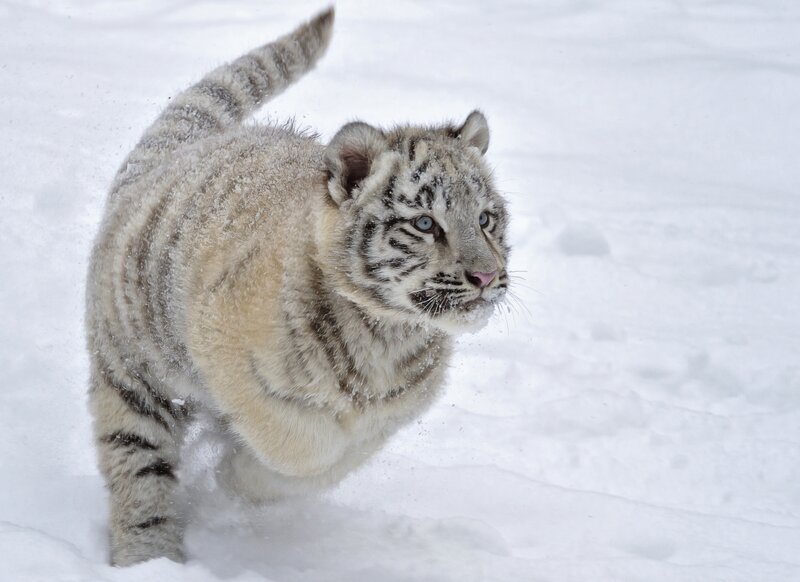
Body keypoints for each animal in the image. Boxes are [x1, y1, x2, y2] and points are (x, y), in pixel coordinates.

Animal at [86, 7, 510, 566]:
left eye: (485, 219)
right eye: (424, 224)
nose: (485, 276)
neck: (387, 335)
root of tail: (179, 154)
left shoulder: (385, 418)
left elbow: (327, 461)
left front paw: (242, 477)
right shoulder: (228, 355)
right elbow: (300, 445)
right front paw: (234, 474)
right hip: (132, 373)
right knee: (139, 471)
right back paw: (149, 559)